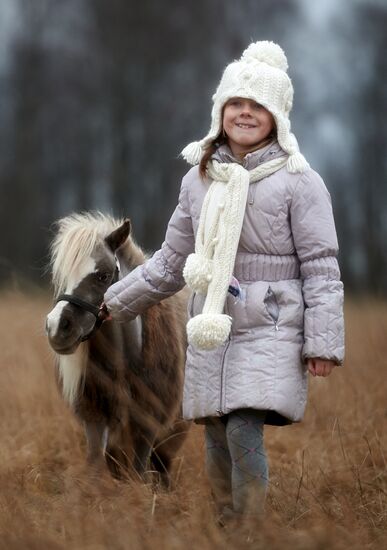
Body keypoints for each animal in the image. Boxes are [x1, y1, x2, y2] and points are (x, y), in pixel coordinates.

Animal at [45, 213, 189, 486]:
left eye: (103, 275)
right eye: (63, 275)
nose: (57, 327)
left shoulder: (146, 425)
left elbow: (139, 474)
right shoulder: (96, 420)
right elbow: (95, 467)